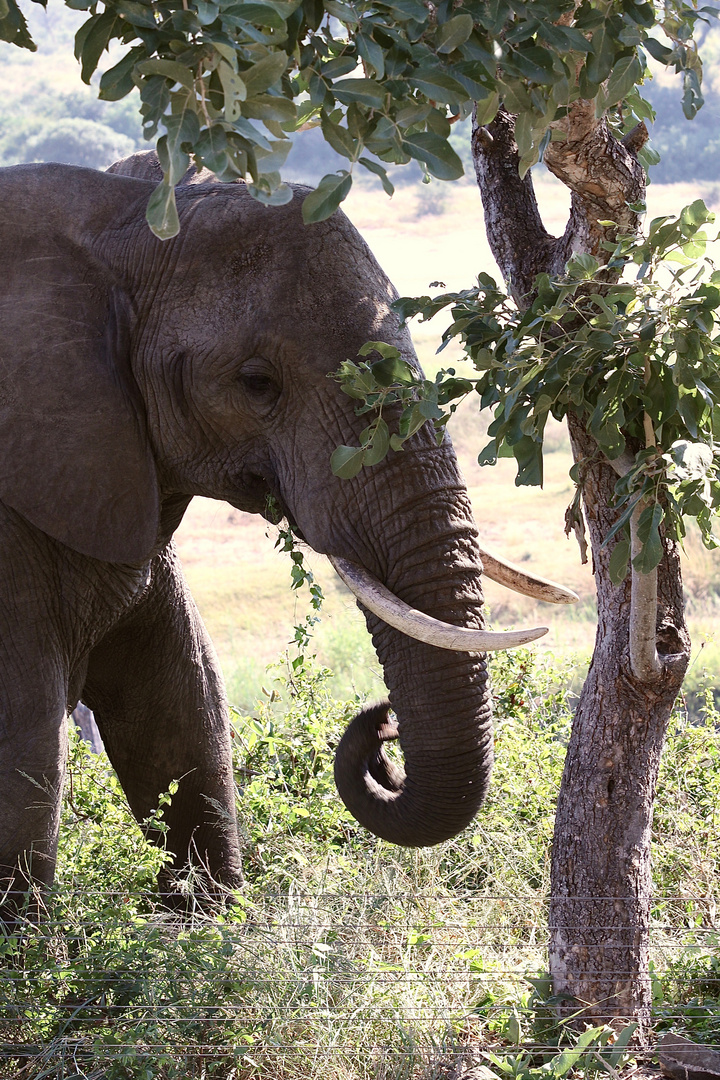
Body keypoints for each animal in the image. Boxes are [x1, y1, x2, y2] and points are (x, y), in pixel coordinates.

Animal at [0, 150, 574, 911]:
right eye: (256, 382)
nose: (381, 724)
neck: (116, 213)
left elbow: (180, 698)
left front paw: (207, 918)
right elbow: (27, 728)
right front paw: (31, 940)